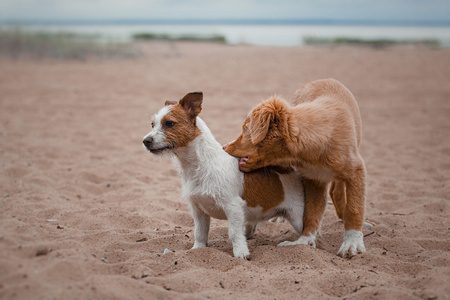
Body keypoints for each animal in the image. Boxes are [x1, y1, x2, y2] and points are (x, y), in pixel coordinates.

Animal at [143, 92, 306, 258]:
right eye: (152, 124)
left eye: (169, 123)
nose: (145, 141)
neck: (199, 165)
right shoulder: (198, 210)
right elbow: (200, 233)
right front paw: (198, 249)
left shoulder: (233, 207)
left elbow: (234, 233)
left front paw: (241, 253)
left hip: (298, 217)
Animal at [223, 78, 368, 256]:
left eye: (245, 129)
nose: (223, 147)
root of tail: (320, 80)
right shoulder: (314, 179)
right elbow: (311, 212)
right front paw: (304, 241)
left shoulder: (356, 171)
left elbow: (354, 208)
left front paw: (352, 243)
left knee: (338, 190)